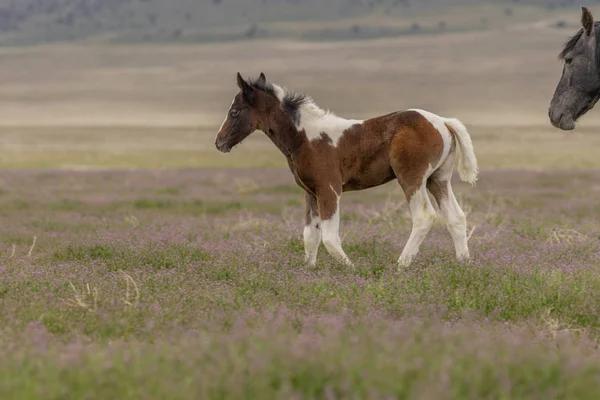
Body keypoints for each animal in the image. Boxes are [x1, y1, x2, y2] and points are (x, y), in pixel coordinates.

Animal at [216, 73, 478, 268]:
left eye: (235, 111)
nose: (219, 142)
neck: (305, 137)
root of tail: (443, 122)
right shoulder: (310, 192)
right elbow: (310, 236)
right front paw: (309, 270)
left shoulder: (329, 189)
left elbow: (329, 237)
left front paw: (351, 269)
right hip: (438, 179)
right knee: (456, 217)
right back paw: (463, 264)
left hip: (411, 178)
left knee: (424, 217)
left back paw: (401, 265)